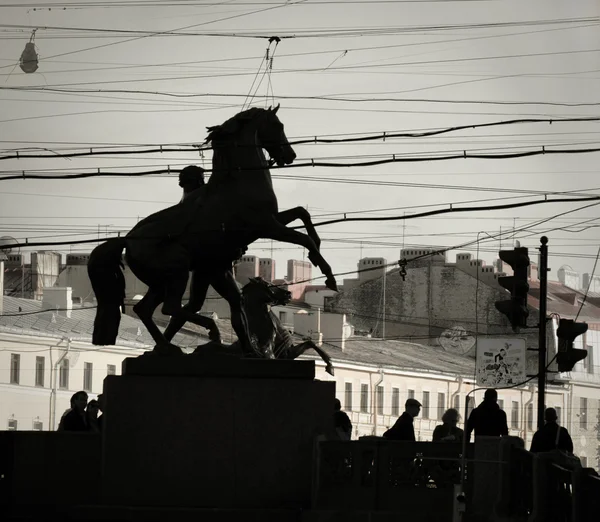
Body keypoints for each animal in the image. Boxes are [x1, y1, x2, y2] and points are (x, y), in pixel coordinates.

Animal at [88, 106, 338, 358]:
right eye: (278, 126)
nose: (290, 155)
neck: (239, 180)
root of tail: (127, 240)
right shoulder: (267, 225)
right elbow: (303, 237)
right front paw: (328, 275)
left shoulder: (272, 221)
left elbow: (302, 213)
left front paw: (318, 252)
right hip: (178, 272)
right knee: (170, 307)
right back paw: (209, 332)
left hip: (162, 282)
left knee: (146, 308)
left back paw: (170, 346)